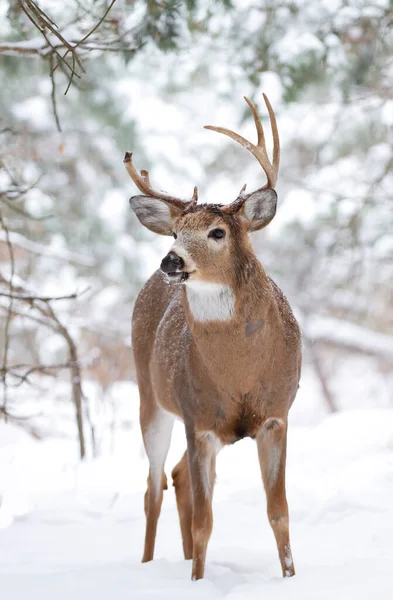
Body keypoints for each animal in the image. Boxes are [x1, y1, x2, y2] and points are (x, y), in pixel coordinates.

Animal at [125, 94, 300, 580]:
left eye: (217, 232)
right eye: (174, 231)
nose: (170, 260)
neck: (239, 372)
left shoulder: (277, 414)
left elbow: (279, 513)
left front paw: (291, 578)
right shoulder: (199, 419)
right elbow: (205, 521)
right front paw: (197, 582)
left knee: (177, 477)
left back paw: (182, 560)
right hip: (151, 396)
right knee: (153, 486)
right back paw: (147, 566)